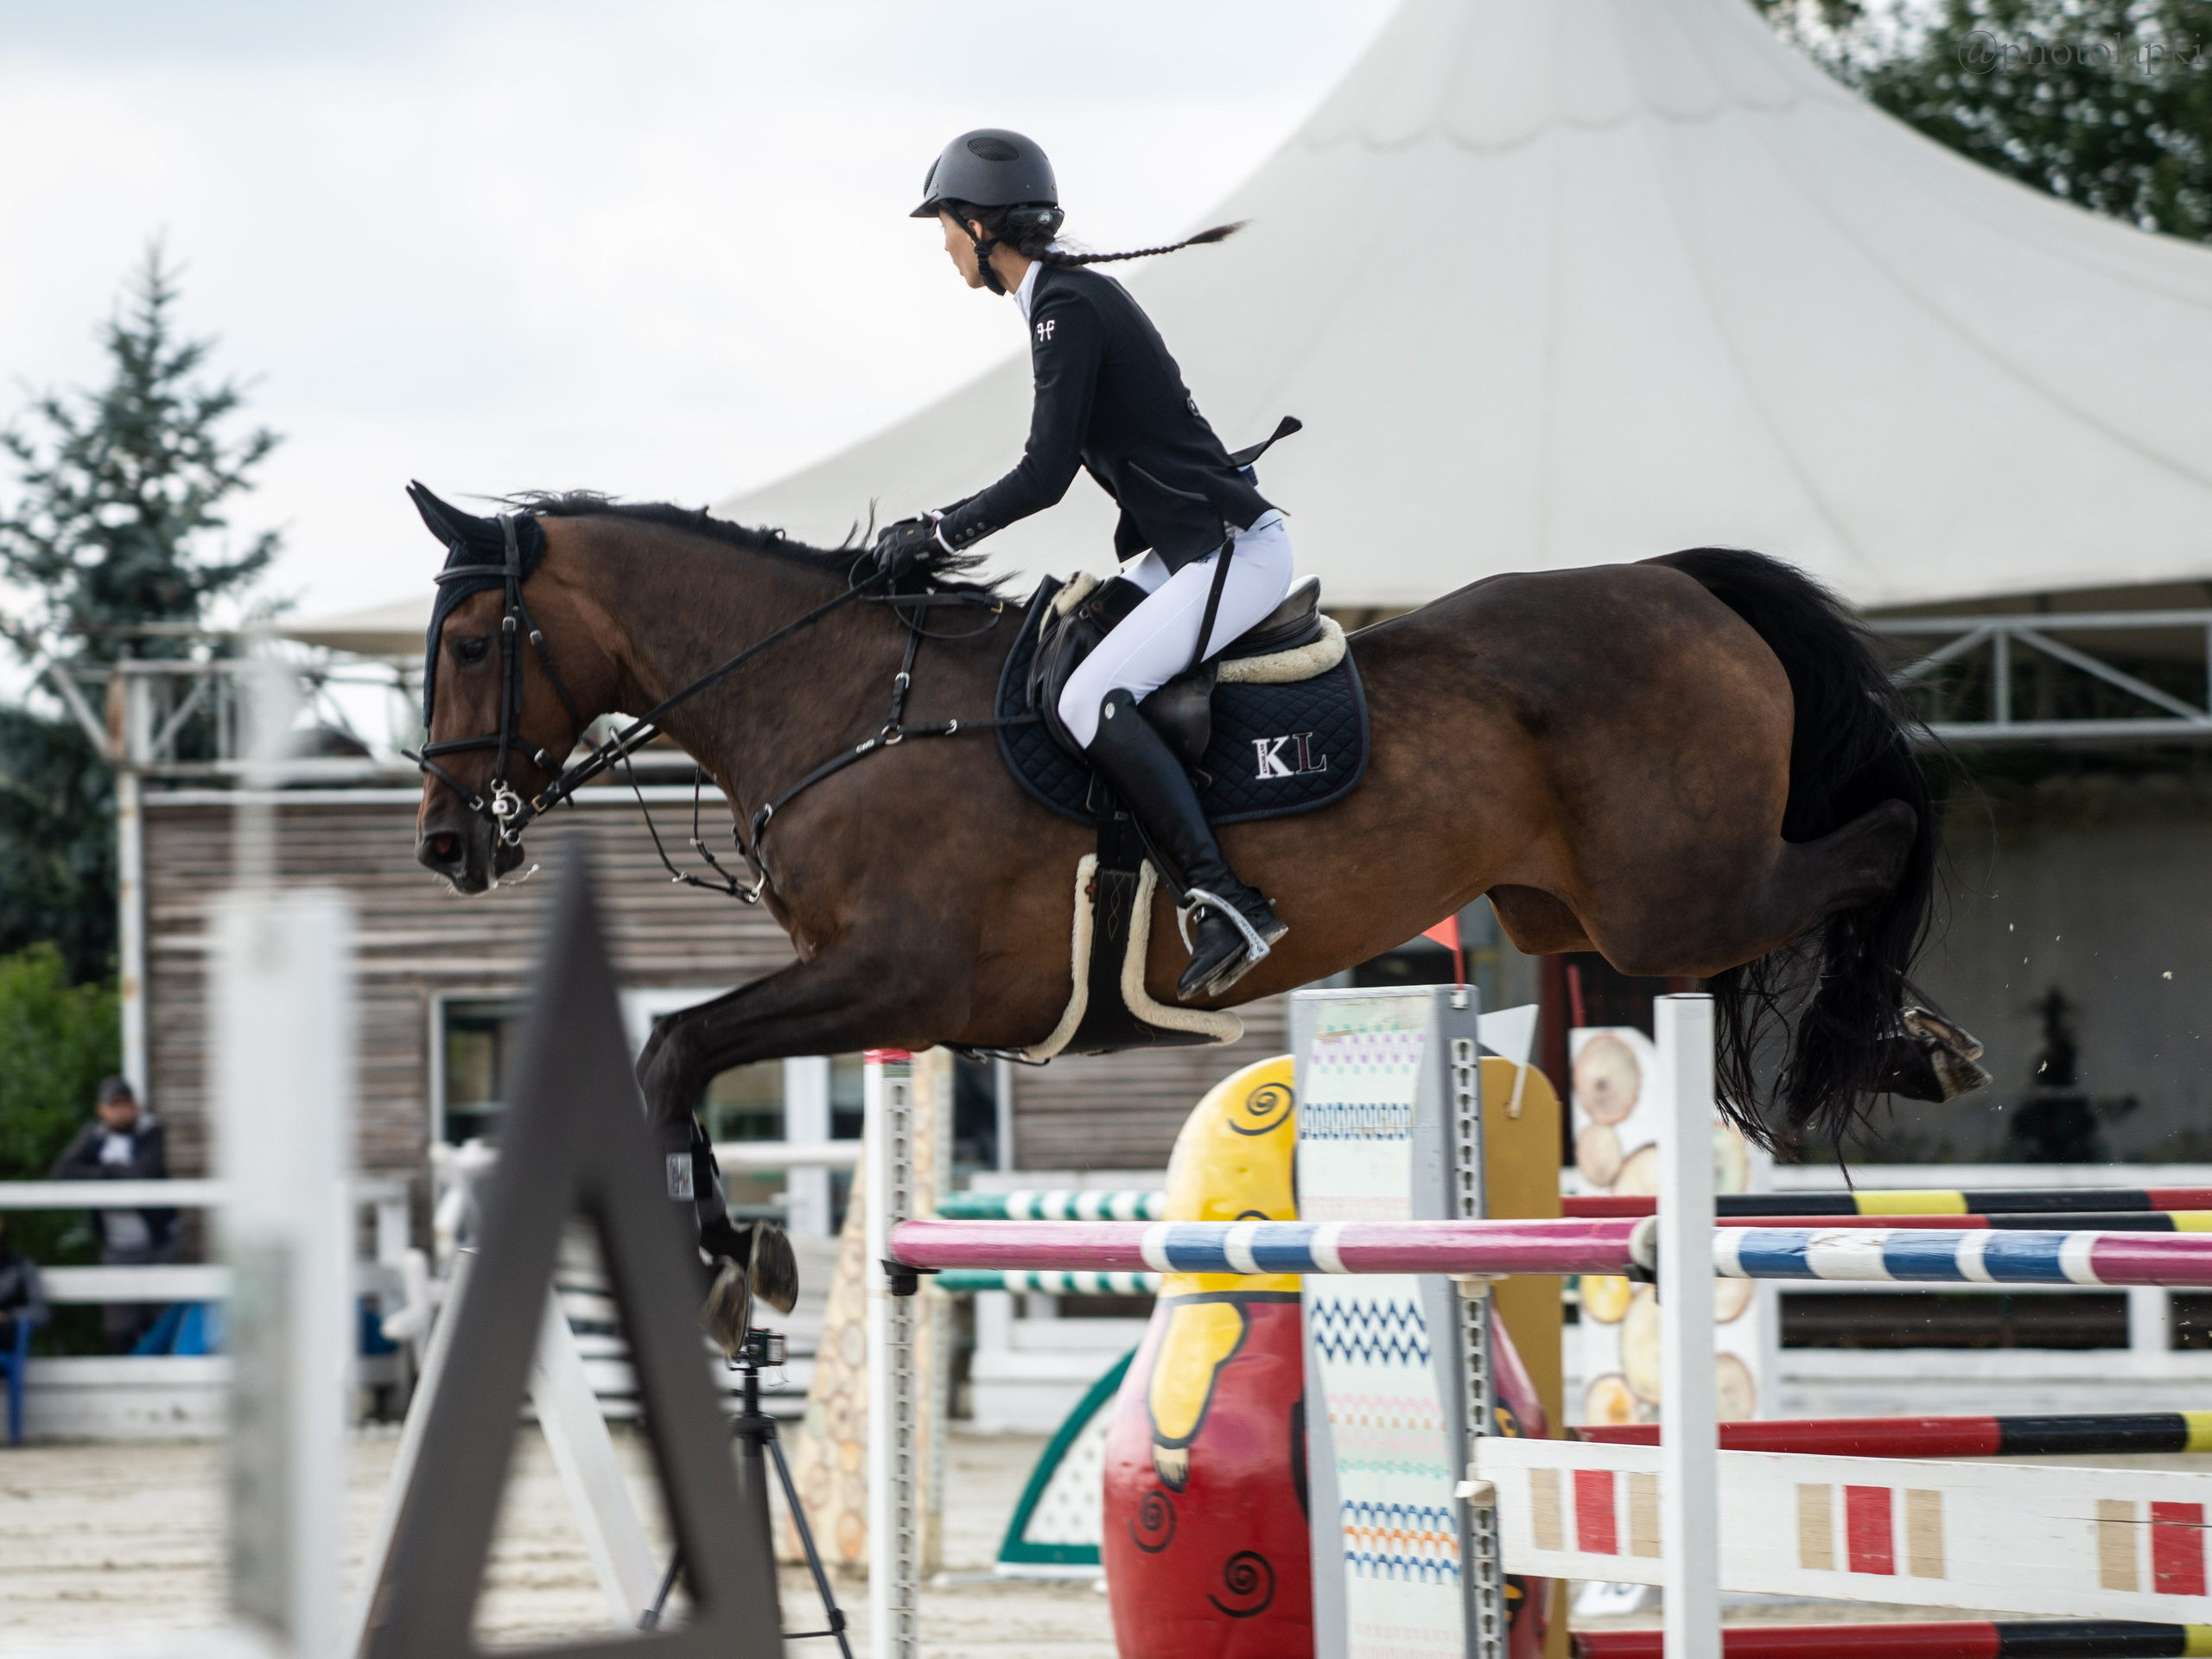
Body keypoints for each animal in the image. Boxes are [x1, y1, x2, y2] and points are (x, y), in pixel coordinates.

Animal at [410, 488, 1978, 1151]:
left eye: (477, 644)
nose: (443, 845)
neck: (851, 699)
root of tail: (1679, 582)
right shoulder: (872, 990)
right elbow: (674, 1051)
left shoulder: (899, 980)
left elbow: (674, 1049)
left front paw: (726, 1277)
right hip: (1589, 915)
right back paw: (1905, 1043)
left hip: (1678, 898)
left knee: (1887, 841)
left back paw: (1887, 1040)